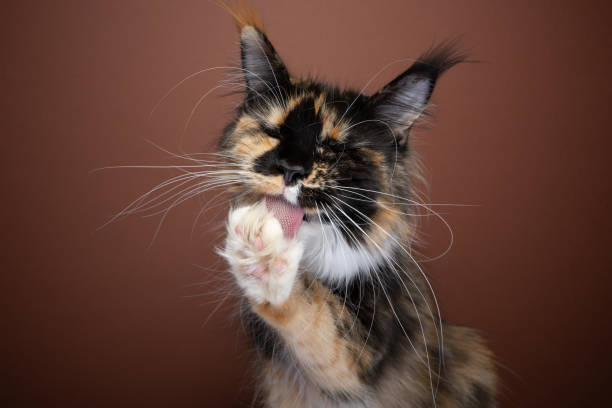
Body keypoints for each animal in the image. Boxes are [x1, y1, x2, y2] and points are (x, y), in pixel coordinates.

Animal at [215, 3, 498, 408]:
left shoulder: (362, 355)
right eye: (275, 132)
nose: (290, 170)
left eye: (334, 148)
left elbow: (314, 314)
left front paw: (263, 248)